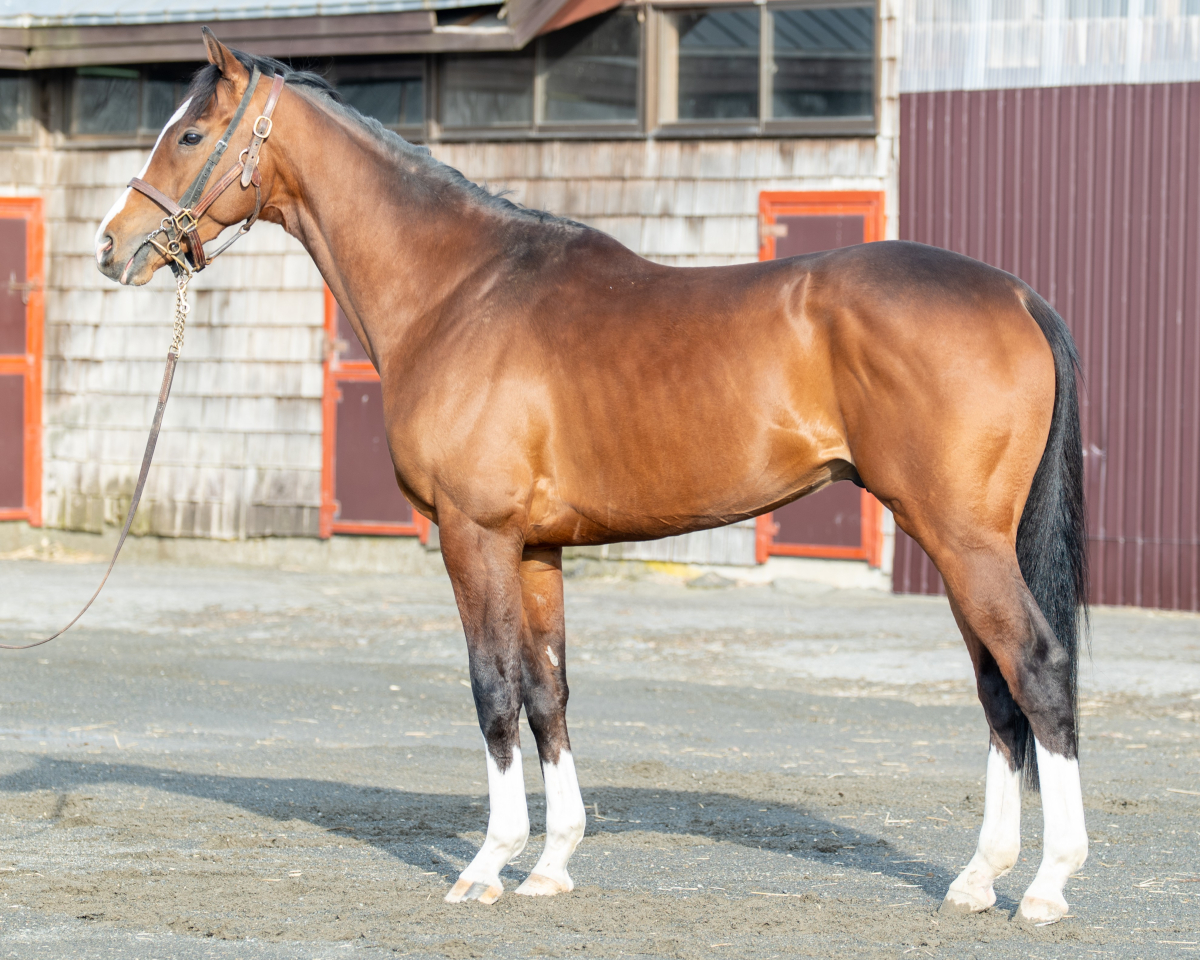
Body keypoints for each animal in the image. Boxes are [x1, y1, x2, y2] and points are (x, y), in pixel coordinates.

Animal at [94, 29, 1089, 924]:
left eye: (190, 135)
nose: (113, 247)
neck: (460, 292)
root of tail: (1016, 295)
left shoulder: (476, 537)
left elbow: (494, 689)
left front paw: (486, 866)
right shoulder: (537, 550)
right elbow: (548, 693)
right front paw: (550, 864)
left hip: (960, 538)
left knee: (1037, 670)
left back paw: (1046, 886)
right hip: (961, 544)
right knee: (998, 690)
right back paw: (978, 879)